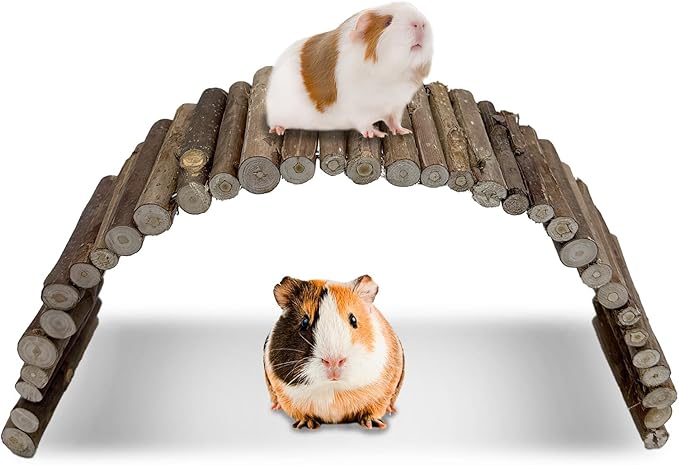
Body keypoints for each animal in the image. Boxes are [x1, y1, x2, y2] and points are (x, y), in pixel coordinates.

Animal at [263, 275, 404, 429]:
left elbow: (375, 408)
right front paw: (307, 424)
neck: (333, 390)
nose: (334, 361)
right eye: (304, 322)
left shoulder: (385, 390)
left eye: (353, 319)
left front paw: (372, 424)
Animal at [266, 2, 433, 138]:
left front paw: (403, 131)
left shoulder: (396, 105)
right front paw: (377, 134)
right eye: (388, 22)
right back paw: (278, 130)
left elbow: (394, 120)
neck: (393, 75)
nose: (420, 23)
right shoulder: (358, 109)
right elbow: (364, 124)